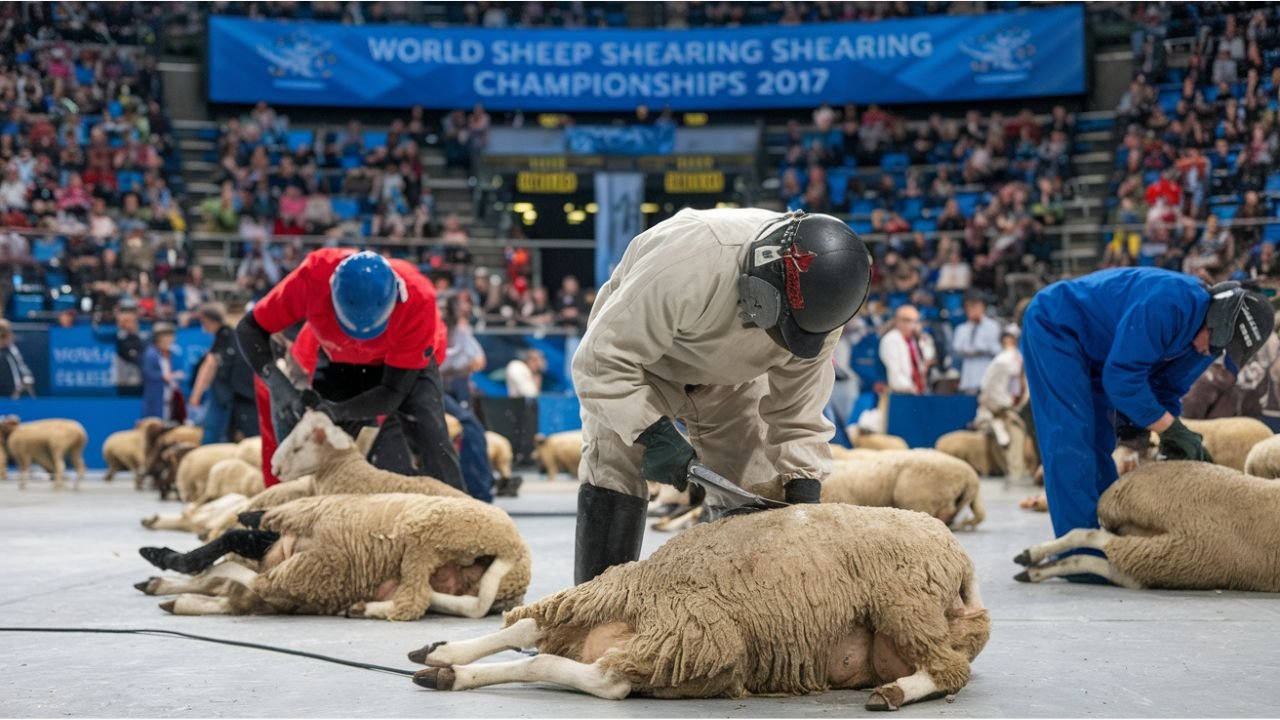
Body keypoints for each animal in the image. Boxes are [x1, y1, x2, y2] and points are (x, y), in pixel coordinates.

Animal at [141, 489, 535, 620]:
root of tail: (515, 552)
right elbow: (228, 554)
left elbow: (229, 542)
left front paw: (164, 560)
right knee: (439, 600)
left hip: (423, 538)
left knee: (412, 603)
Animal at [409, 502, 988, 707]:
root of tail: (961, 562)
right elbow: (531, 633)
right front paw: (444, 659)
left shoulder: (699, 641)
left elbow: (580, 672)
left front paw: (449, 671)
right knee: (536, 627)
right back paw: (442, 657)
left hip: (902, 606)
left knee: (949, 669)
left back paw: (895, 693)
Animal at [1008, 458, 1280, 589]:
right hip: (1174, 550)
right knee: (1093, 541)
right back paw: (1031, 560)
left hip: (1174, 558)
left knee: (1093, 548)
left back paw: (1032, 567)